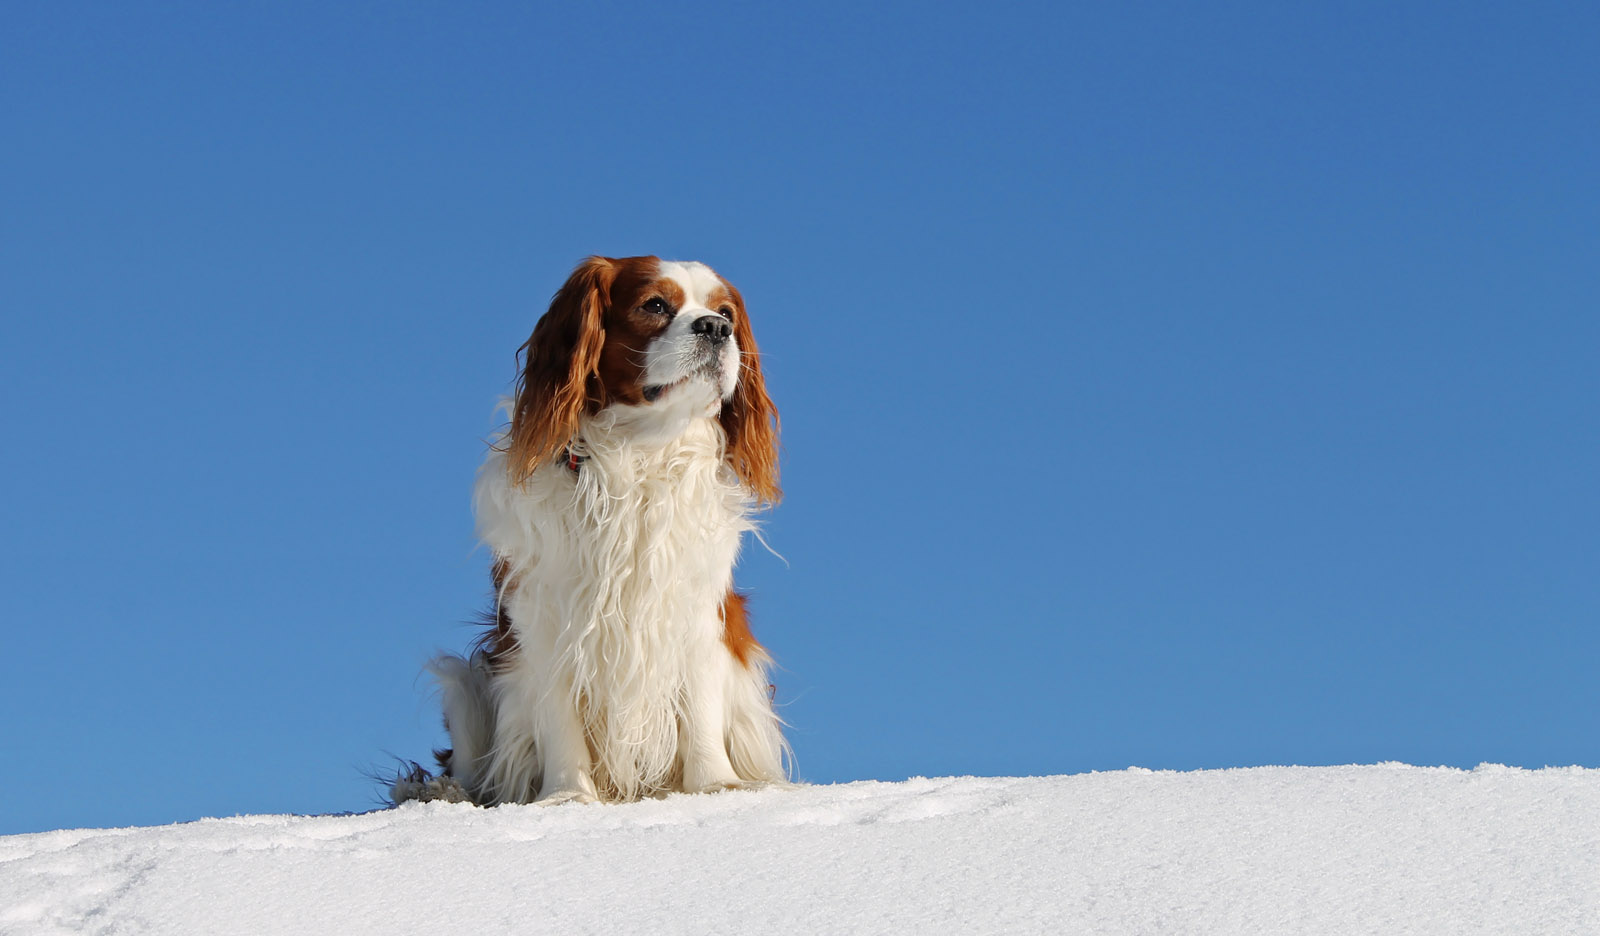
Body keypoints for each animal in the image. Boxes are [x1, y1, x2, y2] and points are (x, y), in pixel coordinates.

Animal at [388, 256, 787, 803]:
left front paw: (716, 785)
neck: (638, 455)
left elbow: (699, 709)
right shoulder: (544, 618)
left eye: (726, 312)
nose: (715, 328)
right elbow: (558, 715)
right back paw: (445, 792)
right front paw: (567, 795)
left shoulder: (695, 612)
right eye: (654, 305)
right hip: (466, 682)